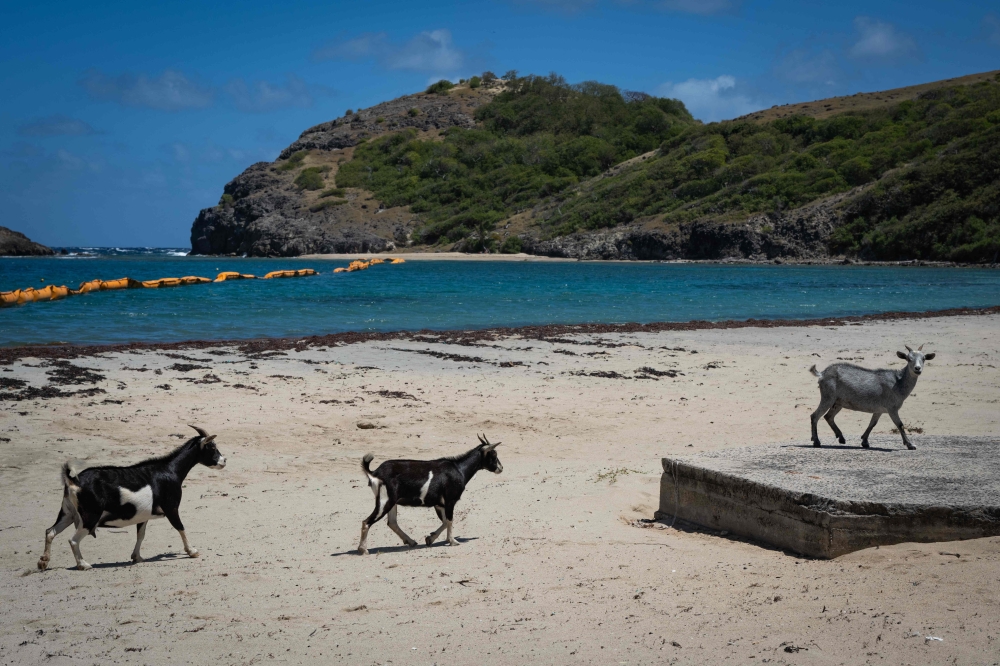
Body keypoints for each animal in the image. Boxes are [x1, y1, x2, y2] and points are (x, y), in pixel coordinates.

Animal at [37, 426, 226, 571]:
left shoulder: (143, 516)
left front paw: (137, 557)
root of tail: (73, 480)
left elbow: (140, 535)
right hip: (90, 516)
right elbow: (180, 527)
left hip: (68, 513)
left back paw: (43, 562)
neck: (170, 470)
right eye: (212, 447)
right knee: (73, 540)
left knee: (50, 532)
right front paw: (192, 551)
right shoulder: (171, 507)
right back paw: (83, 564)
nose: (224, 460)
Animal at [357, 434, 502, 555]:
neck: (459, 469)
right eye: (493, 455)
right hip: (385, 500)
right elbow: (450, 520)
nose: (500, 468)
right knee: (367, 522)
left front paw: (430, 539)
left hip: (391, 502)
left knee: (392, 522)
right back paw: (363, 549)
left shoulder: (439, 504)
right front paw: (452, 541)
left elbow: (445, 521)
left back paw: (411, 542)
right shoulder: (450, 500)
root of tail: (375, 473)